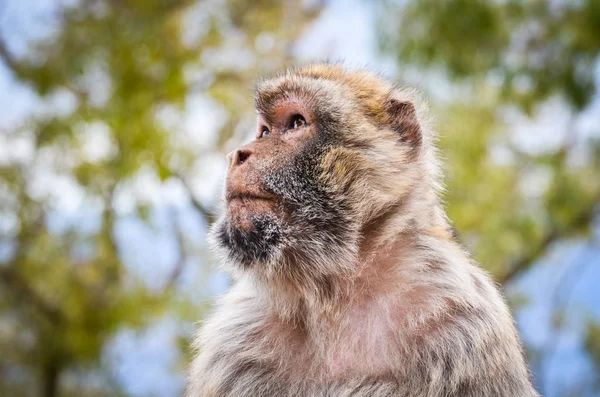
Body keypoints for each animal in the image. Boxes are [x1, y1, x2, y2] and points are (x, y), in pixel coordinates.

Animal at [186, 63, 540, 394]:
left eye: (296, 123)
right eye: (264, 131)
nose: (236, 155)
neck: (332, 291)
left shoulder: (462, 321)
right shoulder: (234, 341)